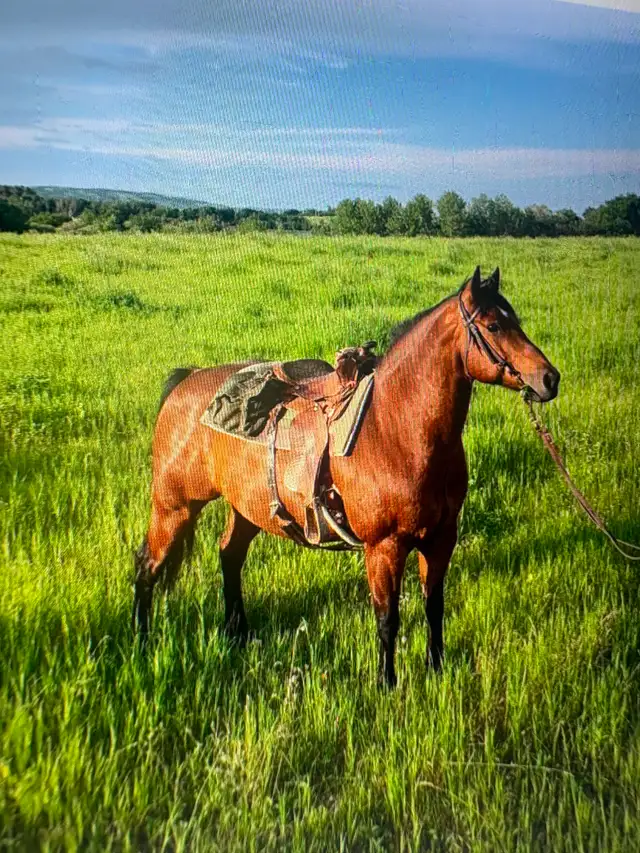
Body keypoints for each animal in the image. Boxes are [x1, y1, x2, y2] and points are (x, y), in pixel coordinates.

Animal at [132, 266, 559, 687]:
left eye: (515, 320)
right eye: (493, 325)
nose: (549, 379)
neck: (395, 429)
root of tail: (188, 380)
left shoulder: (441, 538)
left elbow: (434, 606)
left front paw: (436, 669)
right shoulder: (383, 548)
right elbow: (387, 619)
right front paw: (386, 683)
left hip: (247, 508)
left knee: (229, 555)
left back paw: (238, 633)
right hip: (174, 507)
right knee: (147, 566)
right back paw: (142, 642)